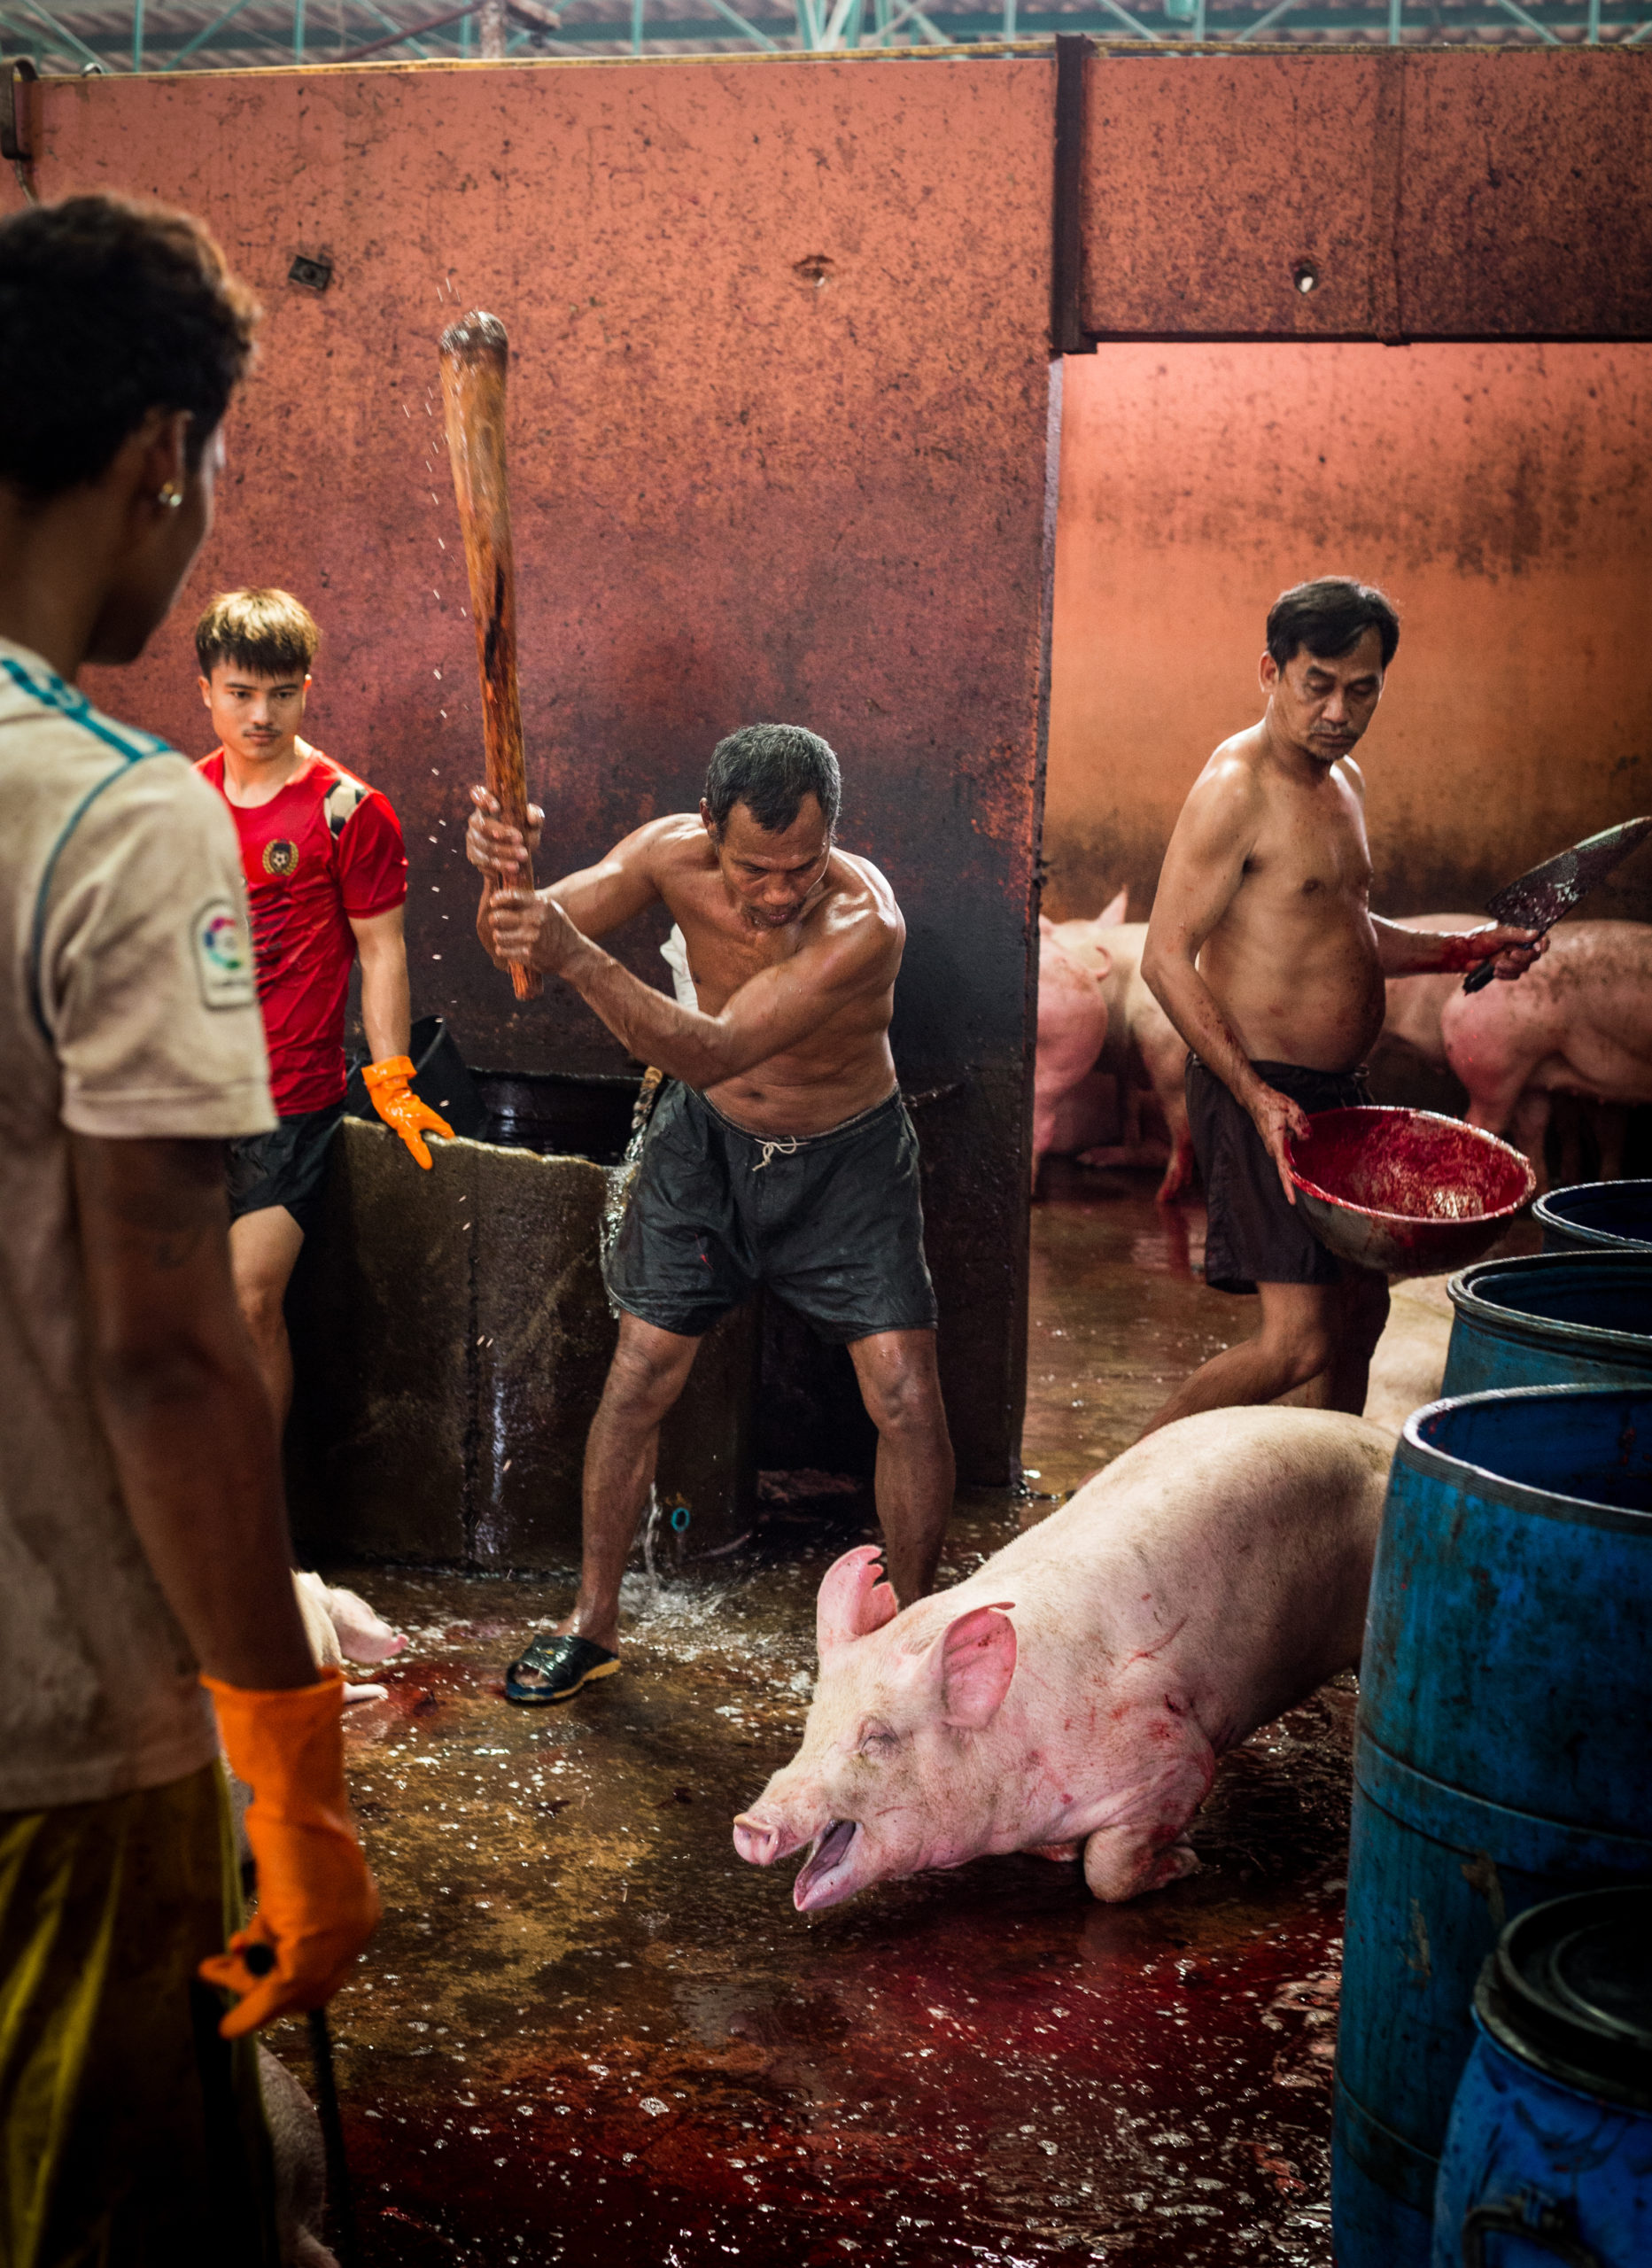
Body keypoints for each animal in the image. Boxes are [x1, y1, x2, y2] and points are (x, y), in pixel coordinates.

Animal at [729, 1406, 1386, 1905]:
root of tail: (1377, 1434)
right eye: (812, 1725)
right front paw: (1059, 1850)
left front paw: (1187, 1862)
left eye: (878, 1738)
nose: (750, 1825)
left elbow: (1107, 1872)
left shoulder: (1176, 1755)